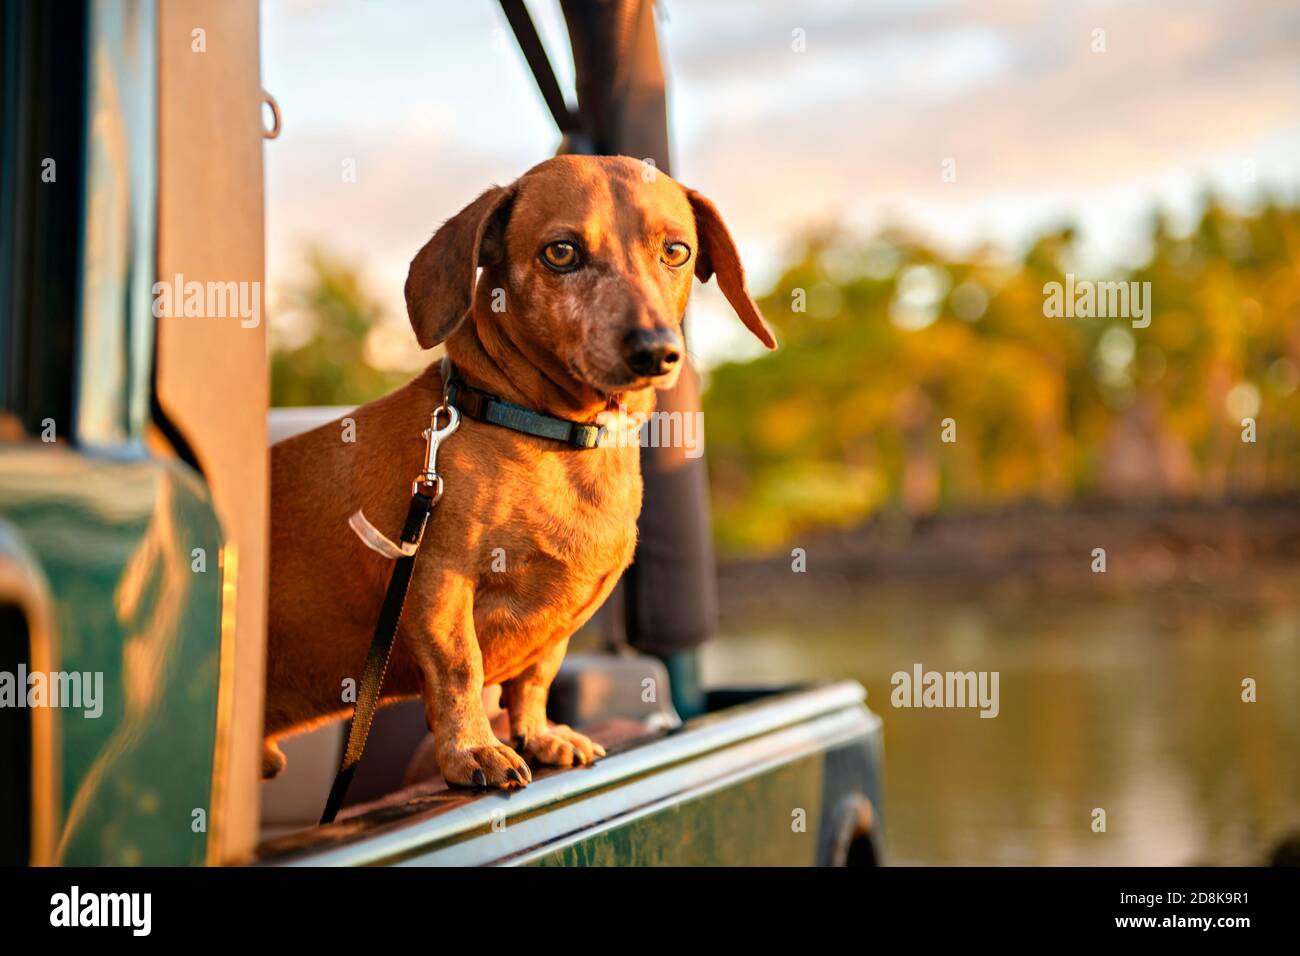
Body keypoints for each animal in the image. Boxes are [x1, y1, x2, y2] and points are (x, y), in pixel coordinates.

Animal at [261, 153, 769, 790]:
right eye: (561, 252)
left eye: (675, 250)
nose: (655, 351)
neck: (551, 435)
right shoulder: (438, 581)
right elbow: (460, 668)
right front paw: (473, 751)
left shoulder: (558, 627)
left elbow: (536, 678)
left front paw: (539, 734)